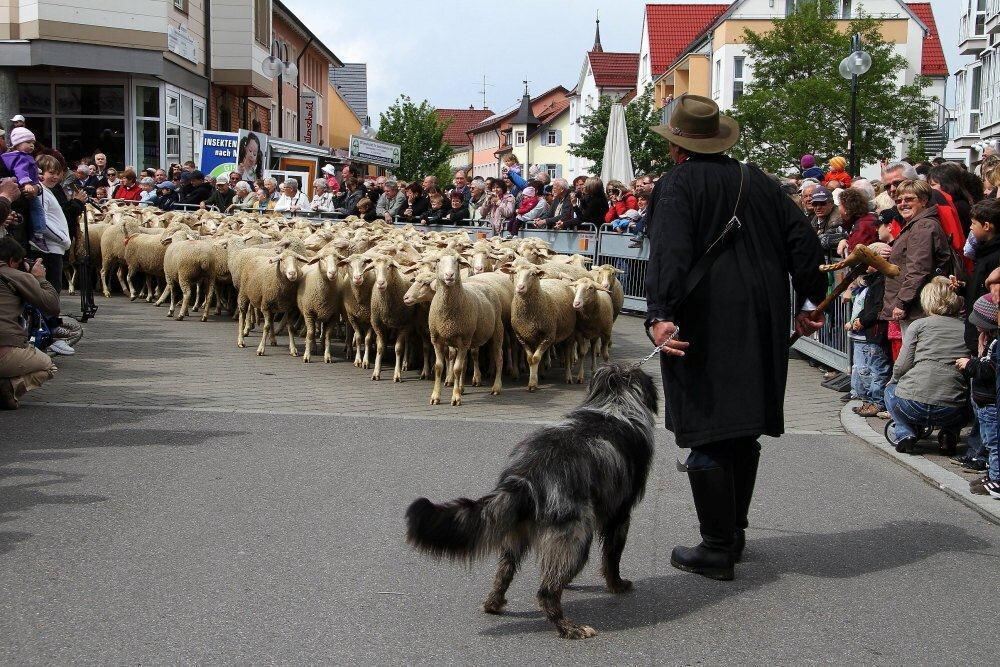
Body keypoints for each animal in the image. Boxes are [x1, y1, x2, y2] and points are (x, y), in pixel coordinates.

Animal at [402, 366, 660, 640]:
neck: (616, 402)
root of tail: (526, 477)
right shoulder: (620, 515)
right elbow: (612, 557)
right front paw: (617, 585)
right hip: (576, 535)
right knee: (546, 592)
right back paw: (569, 628)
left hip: (516, 532)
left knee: (505, 571)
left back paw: (493, 604)